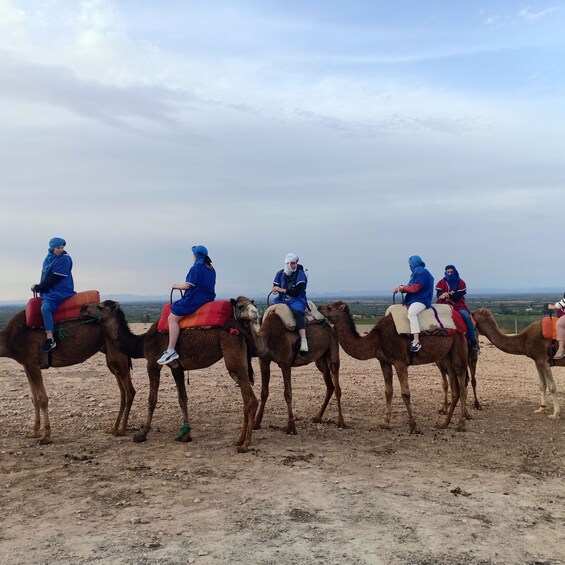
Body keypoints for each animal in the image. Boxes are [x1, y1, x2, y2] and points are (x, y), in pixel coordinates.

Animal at [0, 310, 134, 442]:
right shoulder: (27, 364)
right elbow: (34, 398)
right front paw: (33, 432)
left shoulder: (32, 363)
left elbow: (42, 398)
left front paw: (46, 436)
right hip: (112, 357)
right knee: (124, 391)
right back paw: (114, 427)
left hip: (117, 354)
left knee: (128, 392)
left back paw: (121, 430)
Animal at [80, 298, 260, 452]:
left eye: (100, 306)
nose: (82, 308)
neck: (141, 343)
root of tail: (240, 328)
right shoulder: (176, 368)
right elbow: (182, 398)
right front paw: (186, 435)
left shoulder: (153, 363)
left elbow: (152, 399)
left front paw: (142, 434)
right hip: (240, 357)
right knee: (246, 398)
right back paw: (239, 440)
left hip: (232, 352)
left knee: (251, 399)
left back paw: (245, 444)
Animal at [232, 302, 340, 434]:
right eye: (238, 305)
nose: (253, 312)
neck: (268, 337)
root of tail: (328, 326)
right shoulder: (264, 361)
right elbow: (264, 393)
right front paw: (256, 423)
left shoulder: (285, 363)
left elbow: (288, 394)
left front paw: (291, 427)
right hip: (320, 359)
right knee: (329, 384)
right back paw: (317, 417)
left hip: (332, 345)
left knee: (335, 374)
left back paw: (341, 422)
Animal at [318, 302, 468, 430]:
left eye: (330, 307)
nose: (319, 307)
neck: (377, 339)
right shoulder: (384, 361)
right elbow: (388, 391)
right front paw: (385, 423)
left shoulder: (399, 361)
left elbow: (405, 393)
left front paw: (413, 426)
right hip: (446, 354)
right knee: (453, 381)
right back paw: (445, 423)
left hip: (458, 343)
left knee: (461, 381)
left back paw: (461, 424)